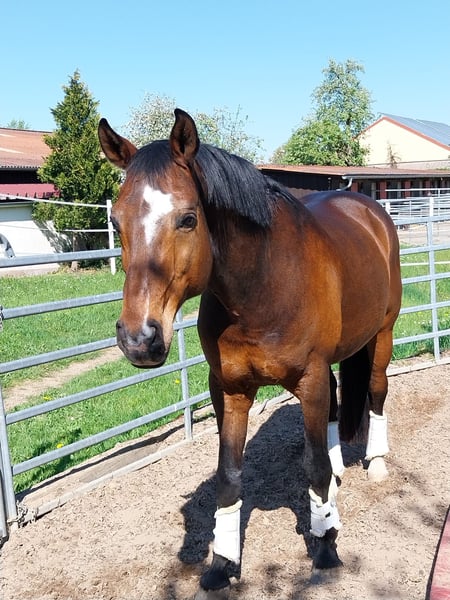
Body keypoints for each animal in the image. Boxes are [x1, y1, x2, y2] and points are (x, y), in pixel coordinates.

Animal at [98, 109, 402, 598]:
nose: (139, 339)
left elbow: (313, 466)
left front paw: (325, 546)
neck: (262, 286)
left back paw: (375, 463)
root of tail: (367, 207)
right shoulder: (230, 389)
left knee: (375, 391)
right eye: (117, 220)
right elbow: (228, 478)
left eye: (188, 219)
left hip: (383, 334)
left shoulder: (309, 379)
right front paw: (222, 563)